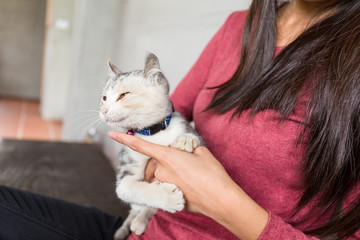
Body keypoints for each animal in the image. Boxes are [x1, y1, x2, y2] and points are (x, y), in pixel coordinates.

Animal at [99, 53, 202, 240]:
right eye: (104, 98)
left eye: (123, 95)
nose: (103, 110)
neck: (153, 134)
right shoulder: (126, 166)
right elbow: (129, 189)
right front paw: (168, 197)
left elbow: (195, 137)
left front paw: (185, 140)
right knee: (138, 208)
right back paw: (136, 221)